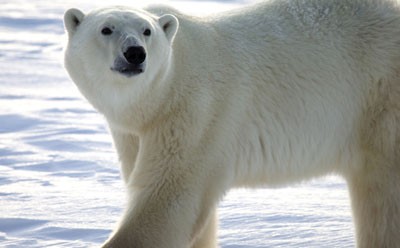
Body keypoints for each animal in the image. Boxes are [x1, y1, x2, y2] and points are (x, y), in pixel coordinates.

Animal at [63, 0, 400, 247]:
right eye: (106, 29)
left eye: (147, 31)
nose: (134, 53)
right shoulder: (134, 132)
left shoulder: (197, 112)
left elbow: (168, 201)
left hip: (379, 100)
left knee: (382, 200)